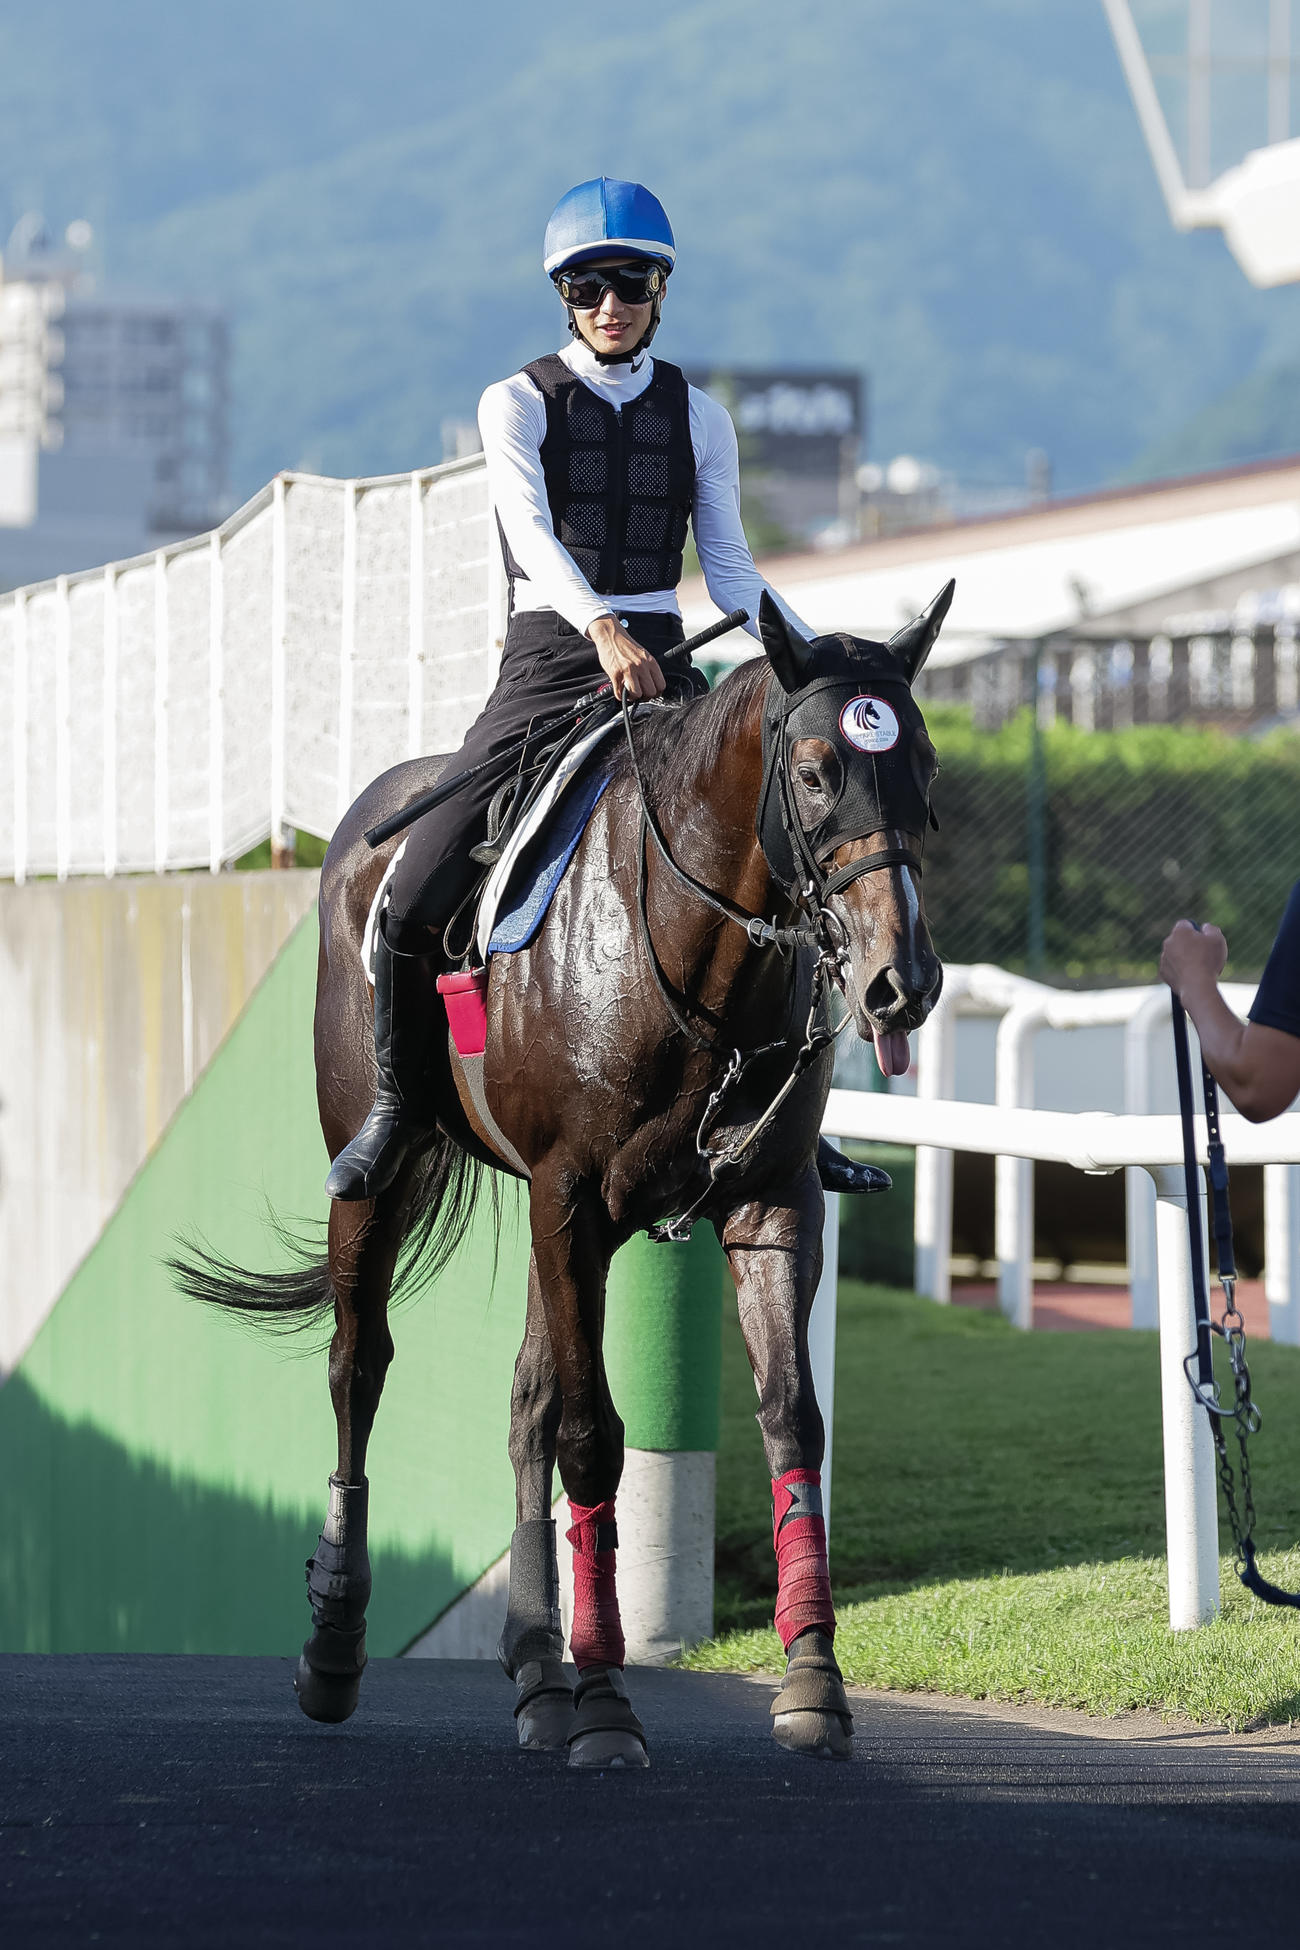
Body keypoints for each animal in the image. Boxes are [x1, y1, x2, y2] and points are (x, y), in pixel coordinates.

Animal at [175, 589, 948, 1767]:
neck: (682, 933)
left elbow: (789, 1420)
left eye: (926, 767)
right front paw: (609, 1702)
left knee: (524, 1396)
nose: (900, 981)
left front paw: (812, 1679)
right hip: (381, 1183)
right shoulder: (572, 1200)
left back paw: (538, 1664)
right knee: (359, 1367)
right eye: (817, 771)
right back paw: (338, 1645)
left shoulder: (770, 1205)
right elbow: (594, 1437)